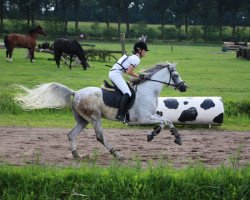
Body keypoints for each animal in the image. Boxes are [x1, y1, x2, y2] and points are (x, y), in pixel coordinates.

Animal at [15, 63, 188, 160]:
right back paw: (117, 154)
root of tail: (75, 92)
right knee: (99, 137)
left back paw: (77, 155)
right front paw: (156, 135)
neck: (148, 90)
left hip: (83, 120)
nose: (184, 87)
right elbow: (165, 121)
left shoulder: (151, 116)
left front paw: (171, 136)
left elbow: (167, 121)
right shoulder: (144, 118)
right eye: (176, 74)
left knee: (71, 135)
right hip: (95, 117)